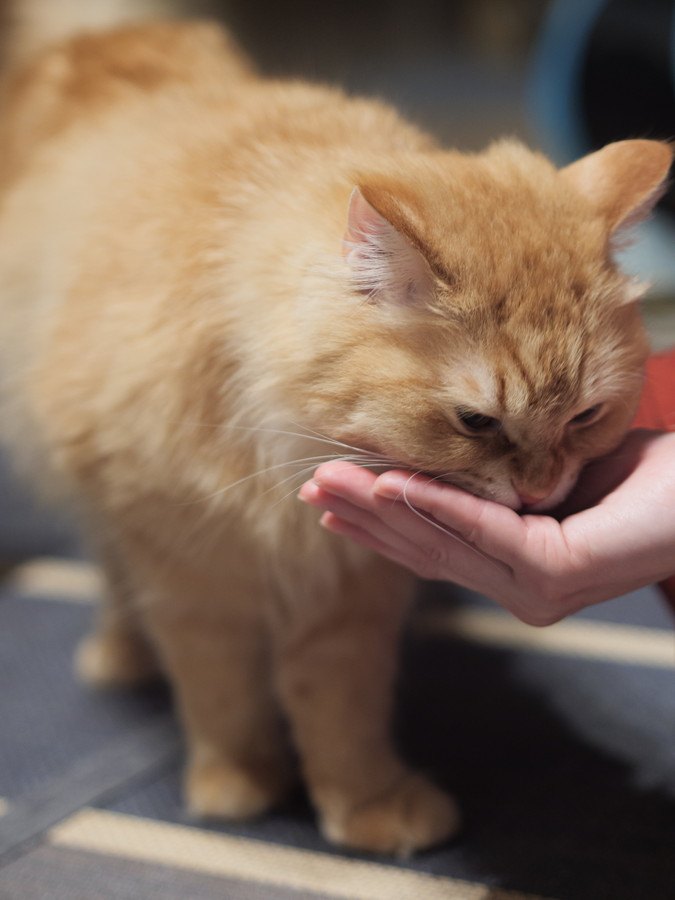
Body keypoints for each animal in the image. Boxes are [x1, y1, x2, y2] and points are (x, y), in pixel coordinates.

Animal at [0, 1, 672, 856]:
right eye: (475, 422)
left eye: (584, 417)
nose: (542, 489)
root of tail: (108, 37)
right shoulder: (188, 562)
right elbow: (219, 689)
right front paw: (239, 784)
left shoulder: (350, 588)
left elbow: (339, 709)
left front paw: (365, 806)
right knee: (116, 580)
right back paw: (122, 654)